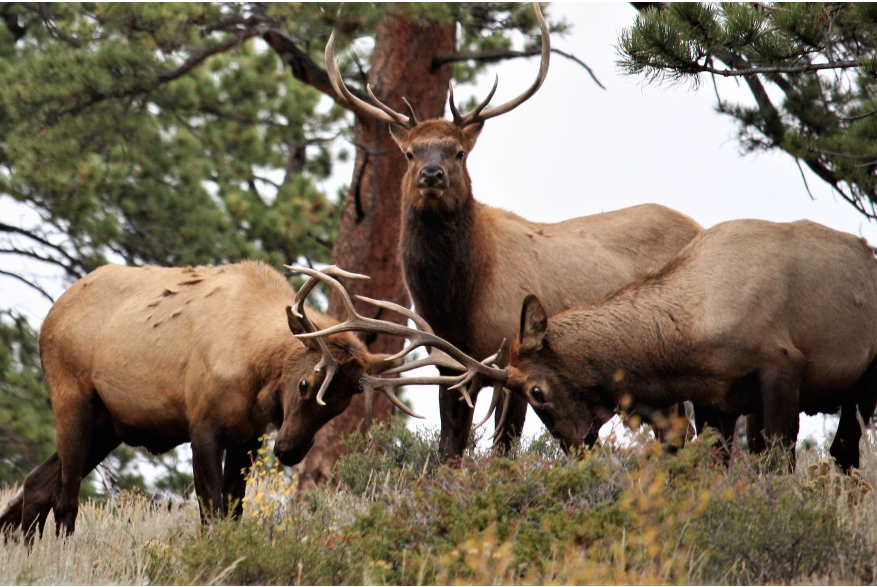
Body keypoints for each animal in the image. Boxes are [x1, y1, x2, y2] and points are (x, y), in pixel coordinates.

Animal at [0, 264, 404, 540]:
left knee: (36, 483)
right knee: (64, 497)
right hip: (71, 396)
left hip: (109, 423)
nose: (289, 451)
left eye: (340, 406)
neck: (253, 369)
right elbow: (211, 510)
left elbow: (234, 510)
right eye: (305, 383)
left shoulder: (248, 436)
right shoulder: (202, 424)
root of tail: (50, 316)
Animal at [326, 1, 700, 460]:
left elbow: (504, 446)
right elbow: (449, 449)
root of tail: (699, 224)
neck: (455, 303)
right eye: (411, 152)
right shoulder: (447, 362)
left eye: (459, 152)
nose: (432, 175)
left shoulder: (511, 356)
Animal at [496, 220, 876, 474]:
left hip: (864, 381)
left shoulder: (783, 366)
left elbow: (778, 462)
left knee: (844, 449)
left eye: (536, 391)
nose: (576, 449)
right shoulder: (715, 402)